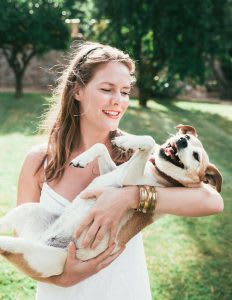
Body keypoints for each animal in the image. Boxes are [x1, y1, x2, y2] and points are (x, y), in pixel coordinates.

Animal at [0, 123, 222, 278]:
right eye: (186, 137)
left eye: (196, 156)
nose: (182, 140)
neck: (157, 171)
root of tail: (39, 238)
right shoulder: (114, 170)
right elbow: (101, 147)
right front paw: (89, 156)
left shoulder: (131, 179)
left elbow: (149, 140)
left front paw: (129, 142)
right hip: (27, 210)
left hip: (38, 254)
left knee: (9, 243)